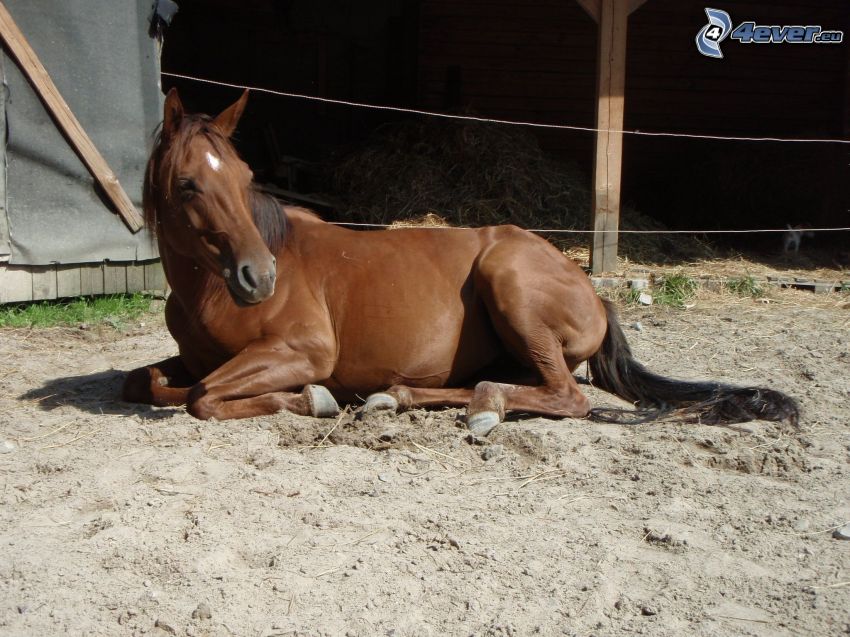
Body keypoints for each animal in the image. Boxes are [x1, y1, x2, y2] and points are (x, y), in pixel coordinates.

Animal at [122, 88, 800, 432]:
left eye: (244, 177)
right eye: (188, 184)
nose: (258, 277)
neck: (209, 294)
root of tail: (594, 291)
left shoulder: (305, 351)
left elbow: (201, 395)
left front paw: (311, 399)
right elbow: (150, 380)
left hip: (510, 282)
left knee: (564, 397)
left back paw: (481, 409)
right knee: (491, 382)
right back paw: (400, 397)